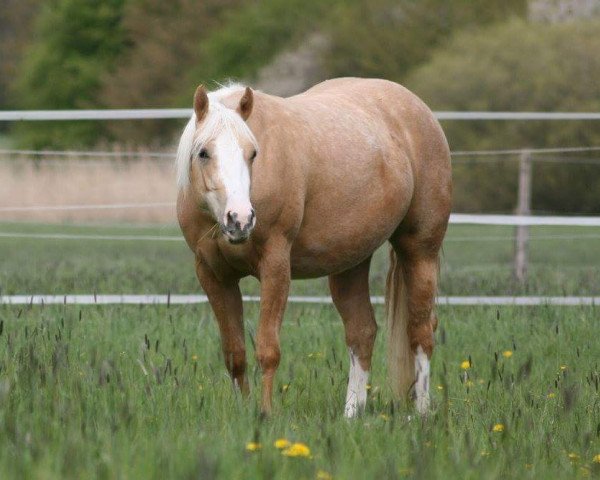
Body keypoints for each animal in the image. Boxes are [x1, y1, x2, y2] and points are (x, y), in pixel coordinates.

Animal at [176, 79, 452, 416]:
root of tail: (418, 109)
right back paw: (351, 415)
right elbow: (234, 354)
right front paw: (244, 413)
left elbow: (268, 350)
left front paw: (265, 415)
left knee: (421, 331)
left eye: (253, 153)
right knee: (362, 332)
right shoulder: (214, 275)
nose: (240, 219)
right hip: (351, 262)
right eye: (203, 153)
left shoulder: (275, 266)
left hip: (420, 251)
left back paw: (421, 413)